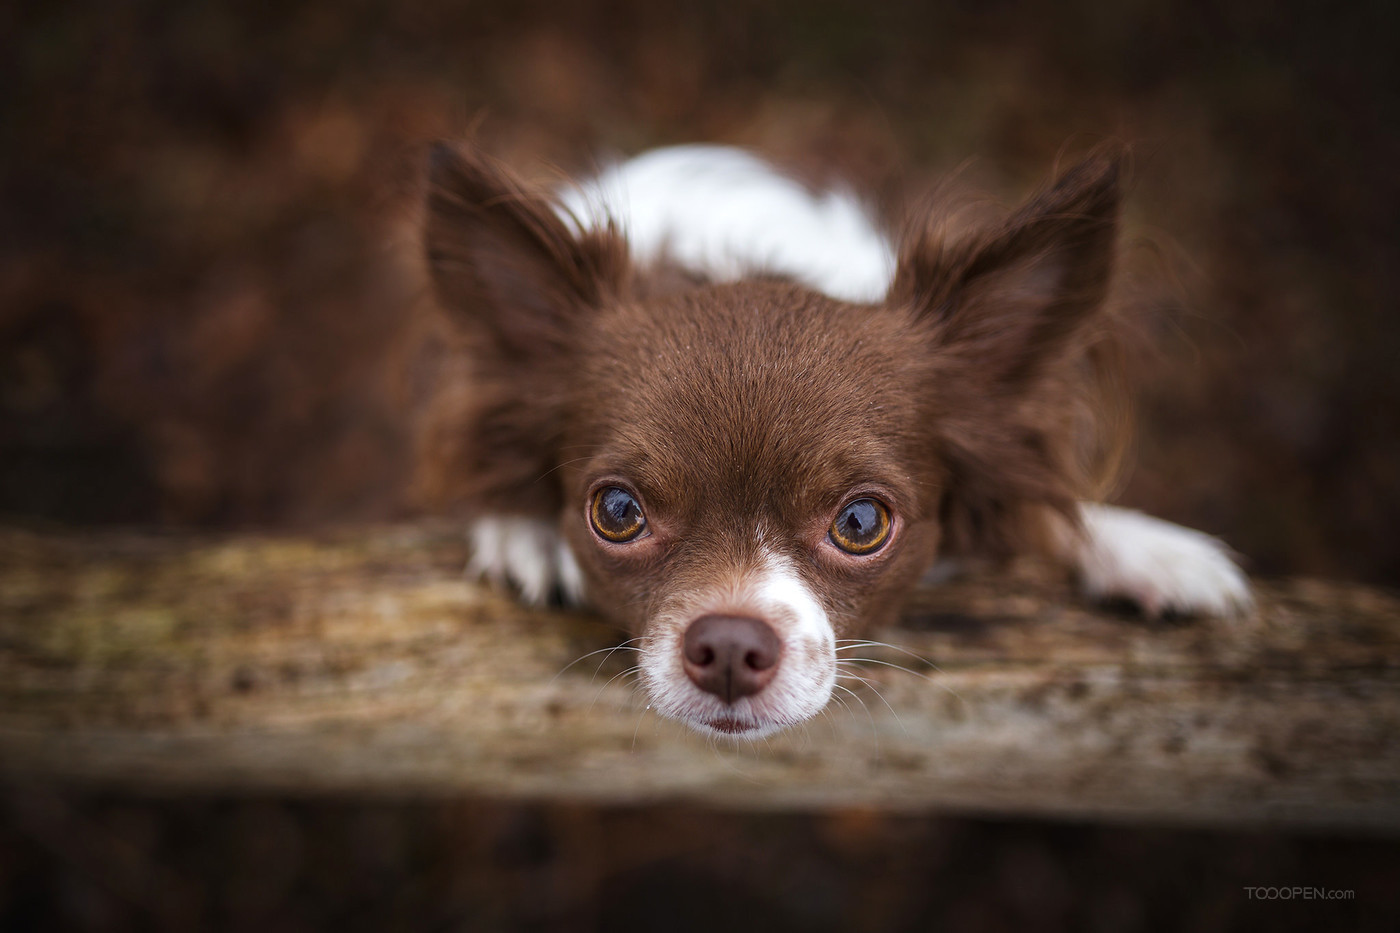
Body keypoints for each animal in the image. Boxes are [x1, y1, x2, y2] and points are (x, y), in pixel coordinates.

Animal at [420, 141, 1254, 739]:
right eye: (618, 512)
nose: (730, 645)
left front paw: (1149, 549)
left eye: (861, 522)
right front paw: (523, 527)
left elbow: (1051, 514)